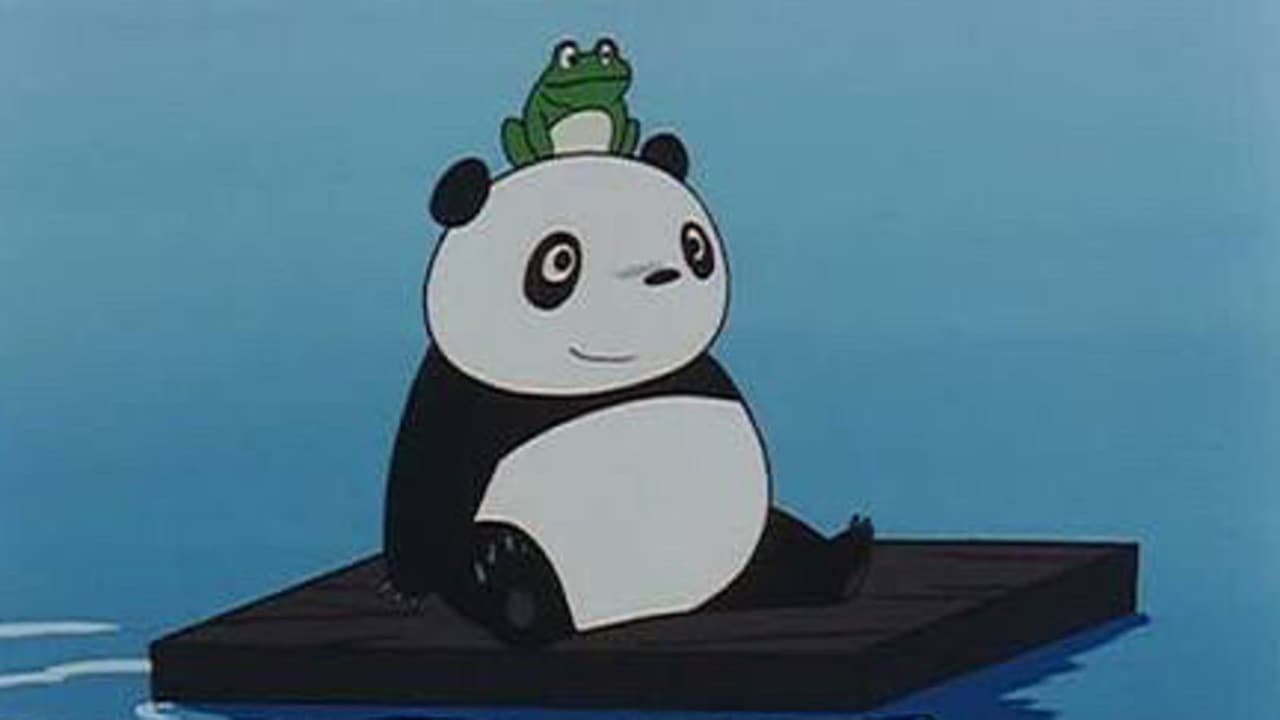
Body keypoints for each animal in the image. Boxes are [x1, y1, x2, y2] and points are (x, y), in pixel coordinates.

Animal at [383, 134, 873, 645]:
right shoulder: (461, 399)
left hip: (747, 548)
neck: (599, 382)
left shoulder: (704, 376)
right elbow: (422, 485)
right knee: (489, 567)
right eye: (559, 260)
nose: (662, 275)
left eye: (694, 244)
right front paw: (405, 587)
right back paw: (512, 580)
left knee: (786, 549)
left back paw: (850, 558)